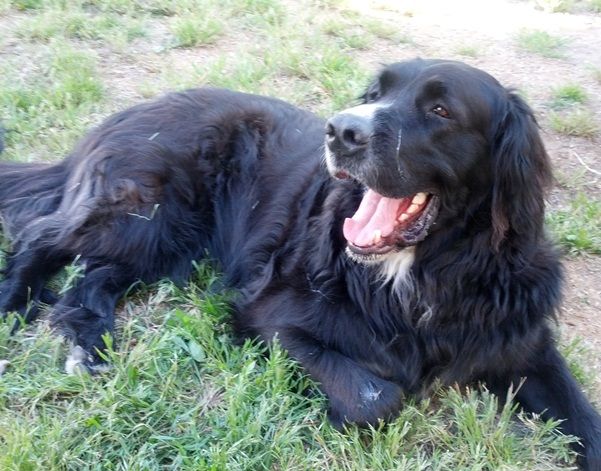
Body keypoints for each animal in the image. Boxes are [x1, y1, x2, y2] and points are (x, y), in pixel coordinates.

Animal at [0, 59, 596, 468]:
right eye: (375, 93)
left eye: (440, 110)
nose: (341, 130)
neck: (426, 272)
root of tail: (128, 112)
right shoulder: (272, 316)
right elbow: (377, 397)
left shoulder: (521, 339)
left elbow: (586, 417)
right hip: (145, 210)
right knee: (42, 234)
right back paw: (16, 300)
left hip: (161, 241)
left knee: (91, 279)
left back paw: (89, 344)